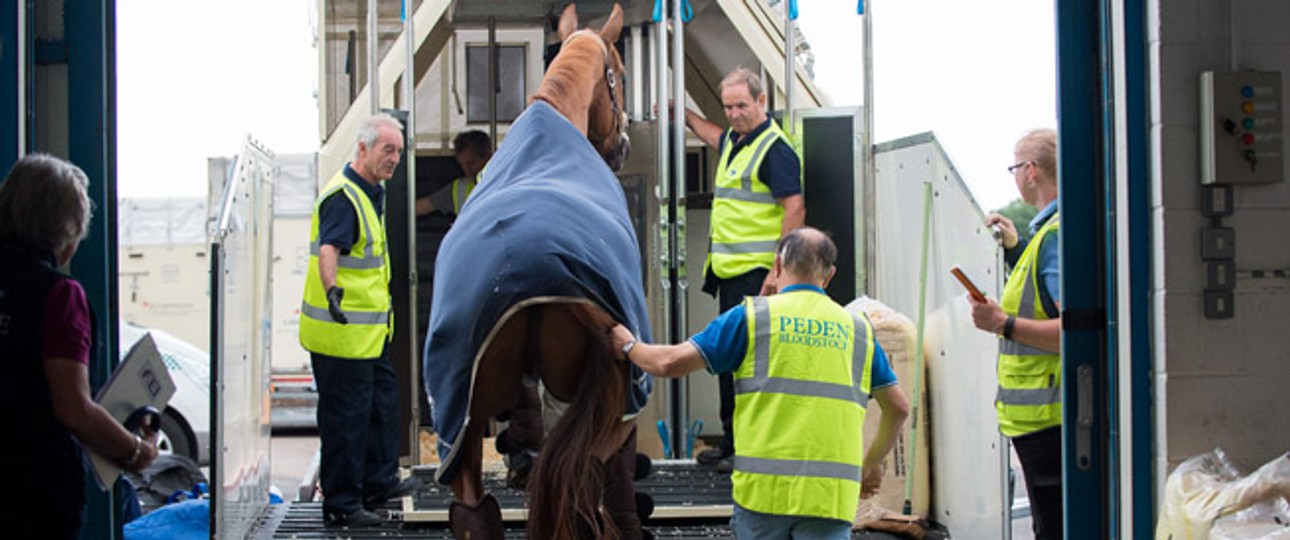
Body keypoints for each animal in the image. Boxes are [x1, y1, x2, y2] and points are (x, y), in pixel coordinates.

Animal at [423, 4, 650, 540]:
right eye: (620, 73)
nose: (623, 144)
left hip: (461, 422)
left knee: (475, 510)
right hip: (617, 407)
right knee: (598, 491)